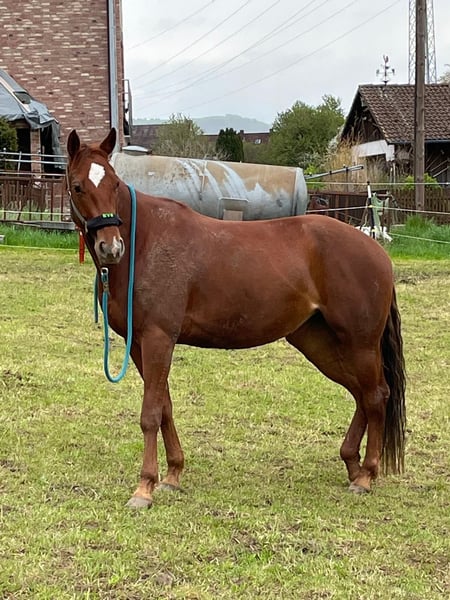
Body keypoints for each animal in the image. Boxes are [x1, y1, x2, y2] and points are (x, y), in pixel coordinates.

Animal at [66, 128, 406, 509]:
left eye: (113, 183)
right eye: (78, 186)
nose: (111, 247)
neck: (145, 242)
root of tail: (376, 251)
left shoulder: (158, 338)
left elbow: (150, 413)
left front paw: (144, 487)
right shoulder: (139, 344)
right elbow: (165, 405)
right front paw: (172, 475)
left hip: (360, 343)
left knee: (376, 395)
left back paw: (366, 475)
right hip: (319, 342)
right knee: (361, 393)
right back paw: (352, 463)